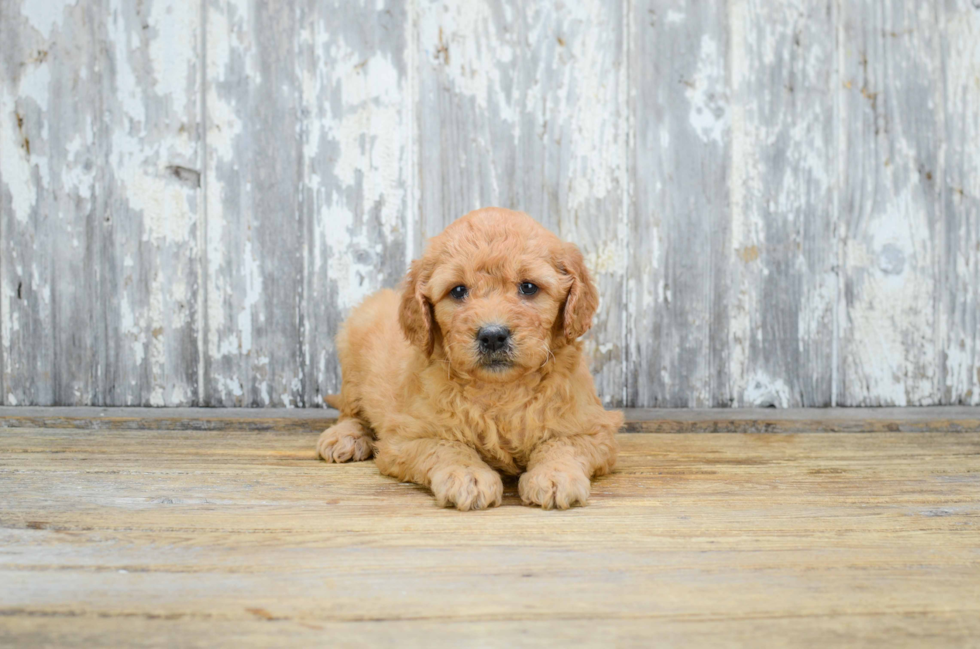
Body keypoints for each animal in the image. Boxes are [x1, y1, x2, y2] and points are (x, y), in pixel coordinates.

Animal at [318, 208, 624, 512]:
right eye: (457, 290)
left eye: (528, 287)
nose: (493, 336)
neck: (499, 390)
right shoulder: (407, 436)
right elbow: (447, 447)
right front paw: (468, 475)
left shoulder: (591, 428)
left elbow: (562, 444)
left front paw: (555, 474)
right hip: (353, 353)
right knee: (350, 411)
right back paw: (345, 437)